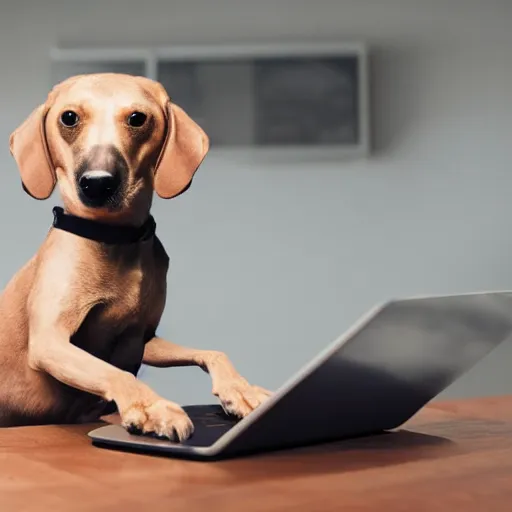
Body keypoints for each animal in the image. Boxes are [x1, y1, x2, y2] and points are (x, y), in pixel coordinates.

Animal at [0, 72, 270, 440]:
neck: (114, 241)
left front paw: (241, 389)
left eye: (137, 118)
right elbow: (117, 373)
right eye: (68, 117)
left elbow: (213, 352)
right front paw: (152, 407)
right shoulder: (49, 342)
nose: (97, 183)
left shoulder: (143, 338)